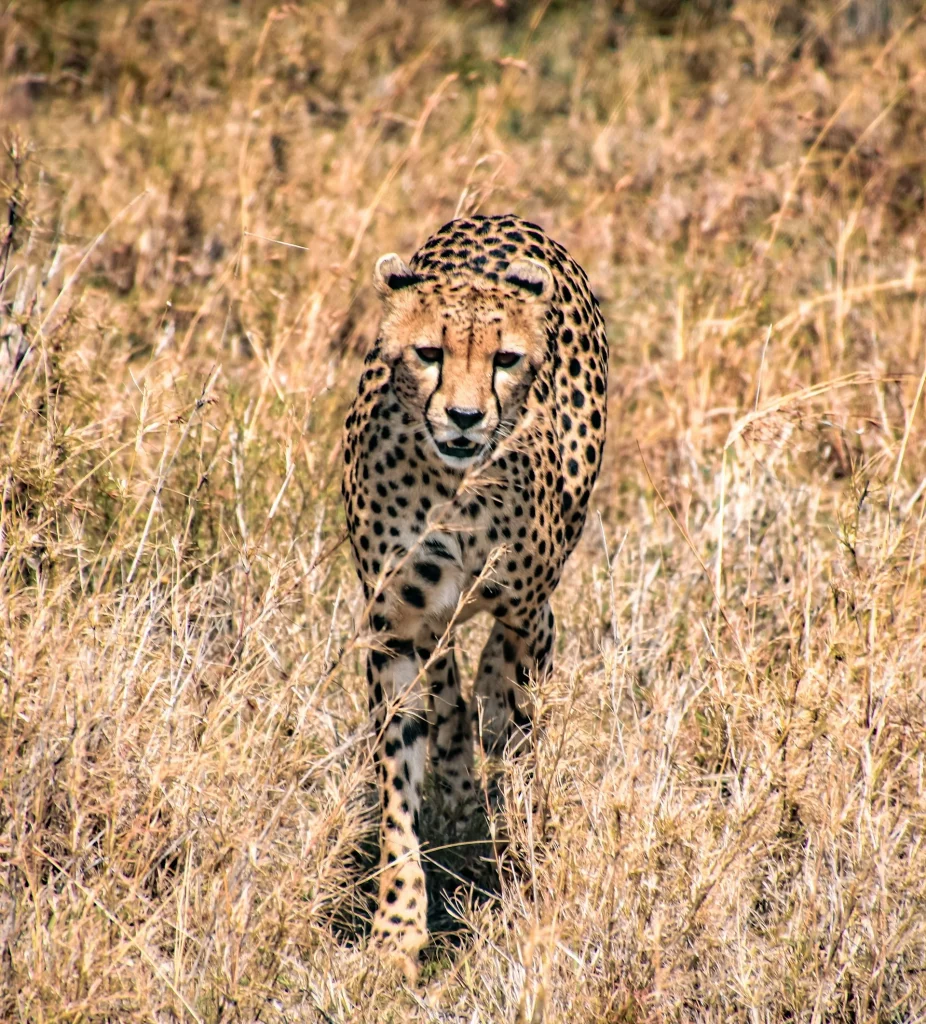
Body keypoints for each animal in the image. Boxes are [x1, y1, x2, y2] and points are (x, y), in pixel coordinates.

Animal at [340, 216, 606, 974]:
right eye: (429, 353)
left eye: (505, 359)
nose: (463, 417)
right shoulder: (394, 632)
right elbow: (400, 789)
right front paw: (398, 930)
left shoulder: (520, 605)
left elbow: (515, 704)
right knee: (453, 694)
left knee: (514, 668)